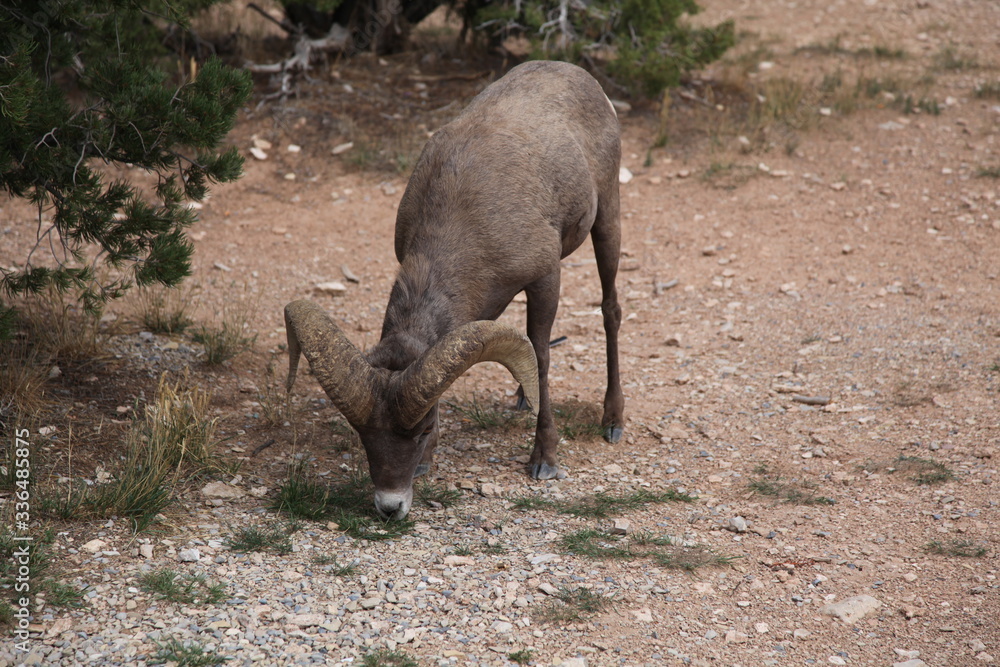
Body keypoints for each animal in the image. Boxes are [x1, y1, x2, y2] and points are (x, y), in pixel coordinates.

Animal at [284, 60, 623, 520]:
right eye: (362, 433)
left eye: (423, 429)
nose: (390, 507)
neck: (464, 213)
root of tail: (580, 76)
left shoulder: (545, 277)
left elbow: (541, 354)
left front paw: (545, 461)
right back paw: (524, 398)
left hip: (608, 220)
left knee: (609, 310)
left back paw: (613, 422)